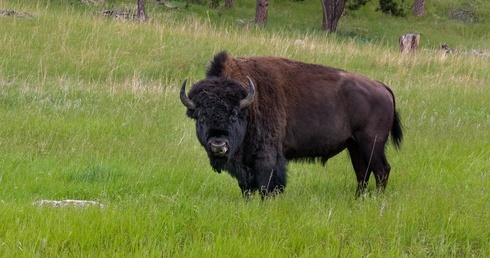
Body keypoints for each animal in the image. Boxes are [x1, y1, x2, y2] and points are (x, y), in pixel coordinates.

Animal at [180, 52, 402, 198]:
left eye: (234, 115)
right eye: (201, 116)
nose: (218, 145)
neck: (249, 104)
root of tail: (382, 87)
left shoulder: (267, 156)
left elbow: (267, 184)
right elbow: (246, 187)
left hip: (372, 143)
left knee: (382, 170)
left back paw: (376, 199)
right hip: (354, 145)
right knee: (362, 172)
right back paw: (358, 199)